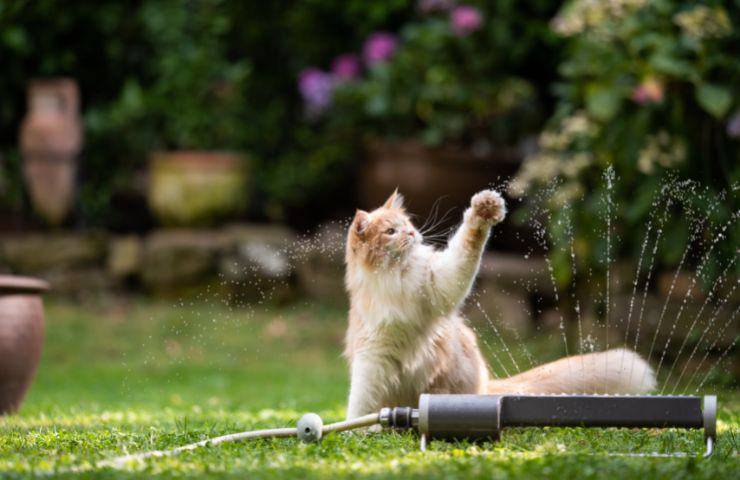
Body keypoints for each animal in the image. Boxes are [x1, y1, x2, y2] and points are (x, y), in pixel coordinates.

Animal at [344, 189, 656, 418]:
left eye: (408, 226)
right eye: (391, 232)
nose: (412, 235)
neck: (397, 277)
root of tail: (486, 386)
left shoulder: (441, 283)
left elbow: (469, 244)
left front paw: (483, 212)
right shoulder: (372, 356)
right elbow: (360, 402)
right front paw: (357, 429)